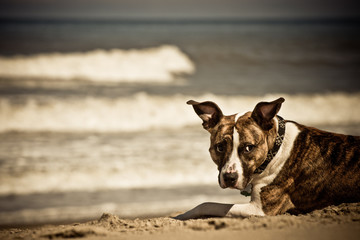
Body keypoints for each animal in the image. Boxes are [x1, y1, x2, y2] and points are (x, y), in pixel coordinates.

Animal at [175, 97, 360, 219]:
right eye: (220, 147)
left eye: (248, 148)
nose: (229, 177)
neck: (275, 150)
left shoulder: (259, 210)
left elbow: (206, 204)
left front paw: (181, 216)